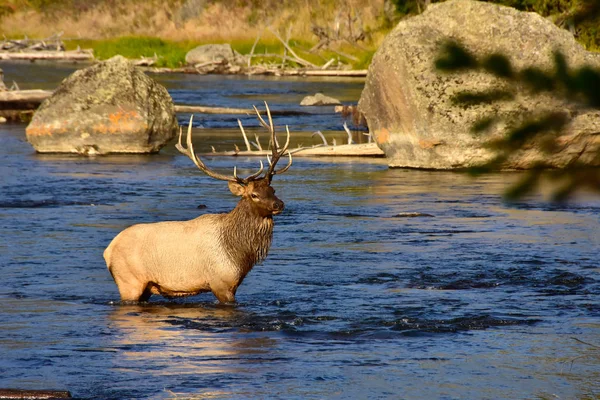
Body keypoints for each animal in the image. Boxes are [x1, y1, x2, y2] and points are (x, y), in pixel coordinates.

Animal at [105, 103, 292, 304]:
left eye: (273, 190)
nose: (279, 205)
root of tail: (107, 251)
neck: (240, 255)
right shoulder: (221, 284)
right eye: (254, 195)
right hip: (129, 282)